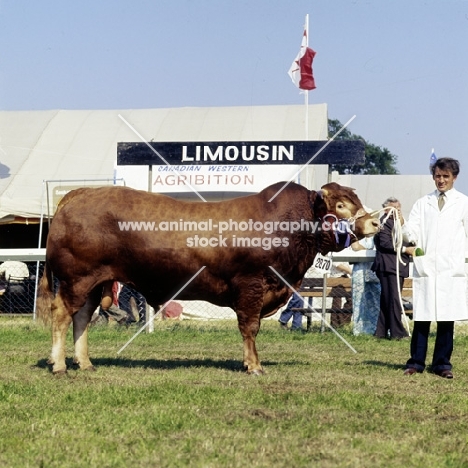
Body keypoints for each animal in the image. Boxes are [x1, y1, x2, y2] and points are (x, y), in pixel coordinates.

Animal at [37, 181, 380, 374]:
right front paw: (254, 365)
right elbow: (250, 327)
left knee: (81, 318)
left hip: (93, 283)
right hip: (77, 279)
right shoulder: (251, 285)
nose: (375, 222)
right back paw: (59, 365)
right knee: (61, 314)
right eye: (340, 204)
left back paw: (84, 362)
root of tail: (78, 195)